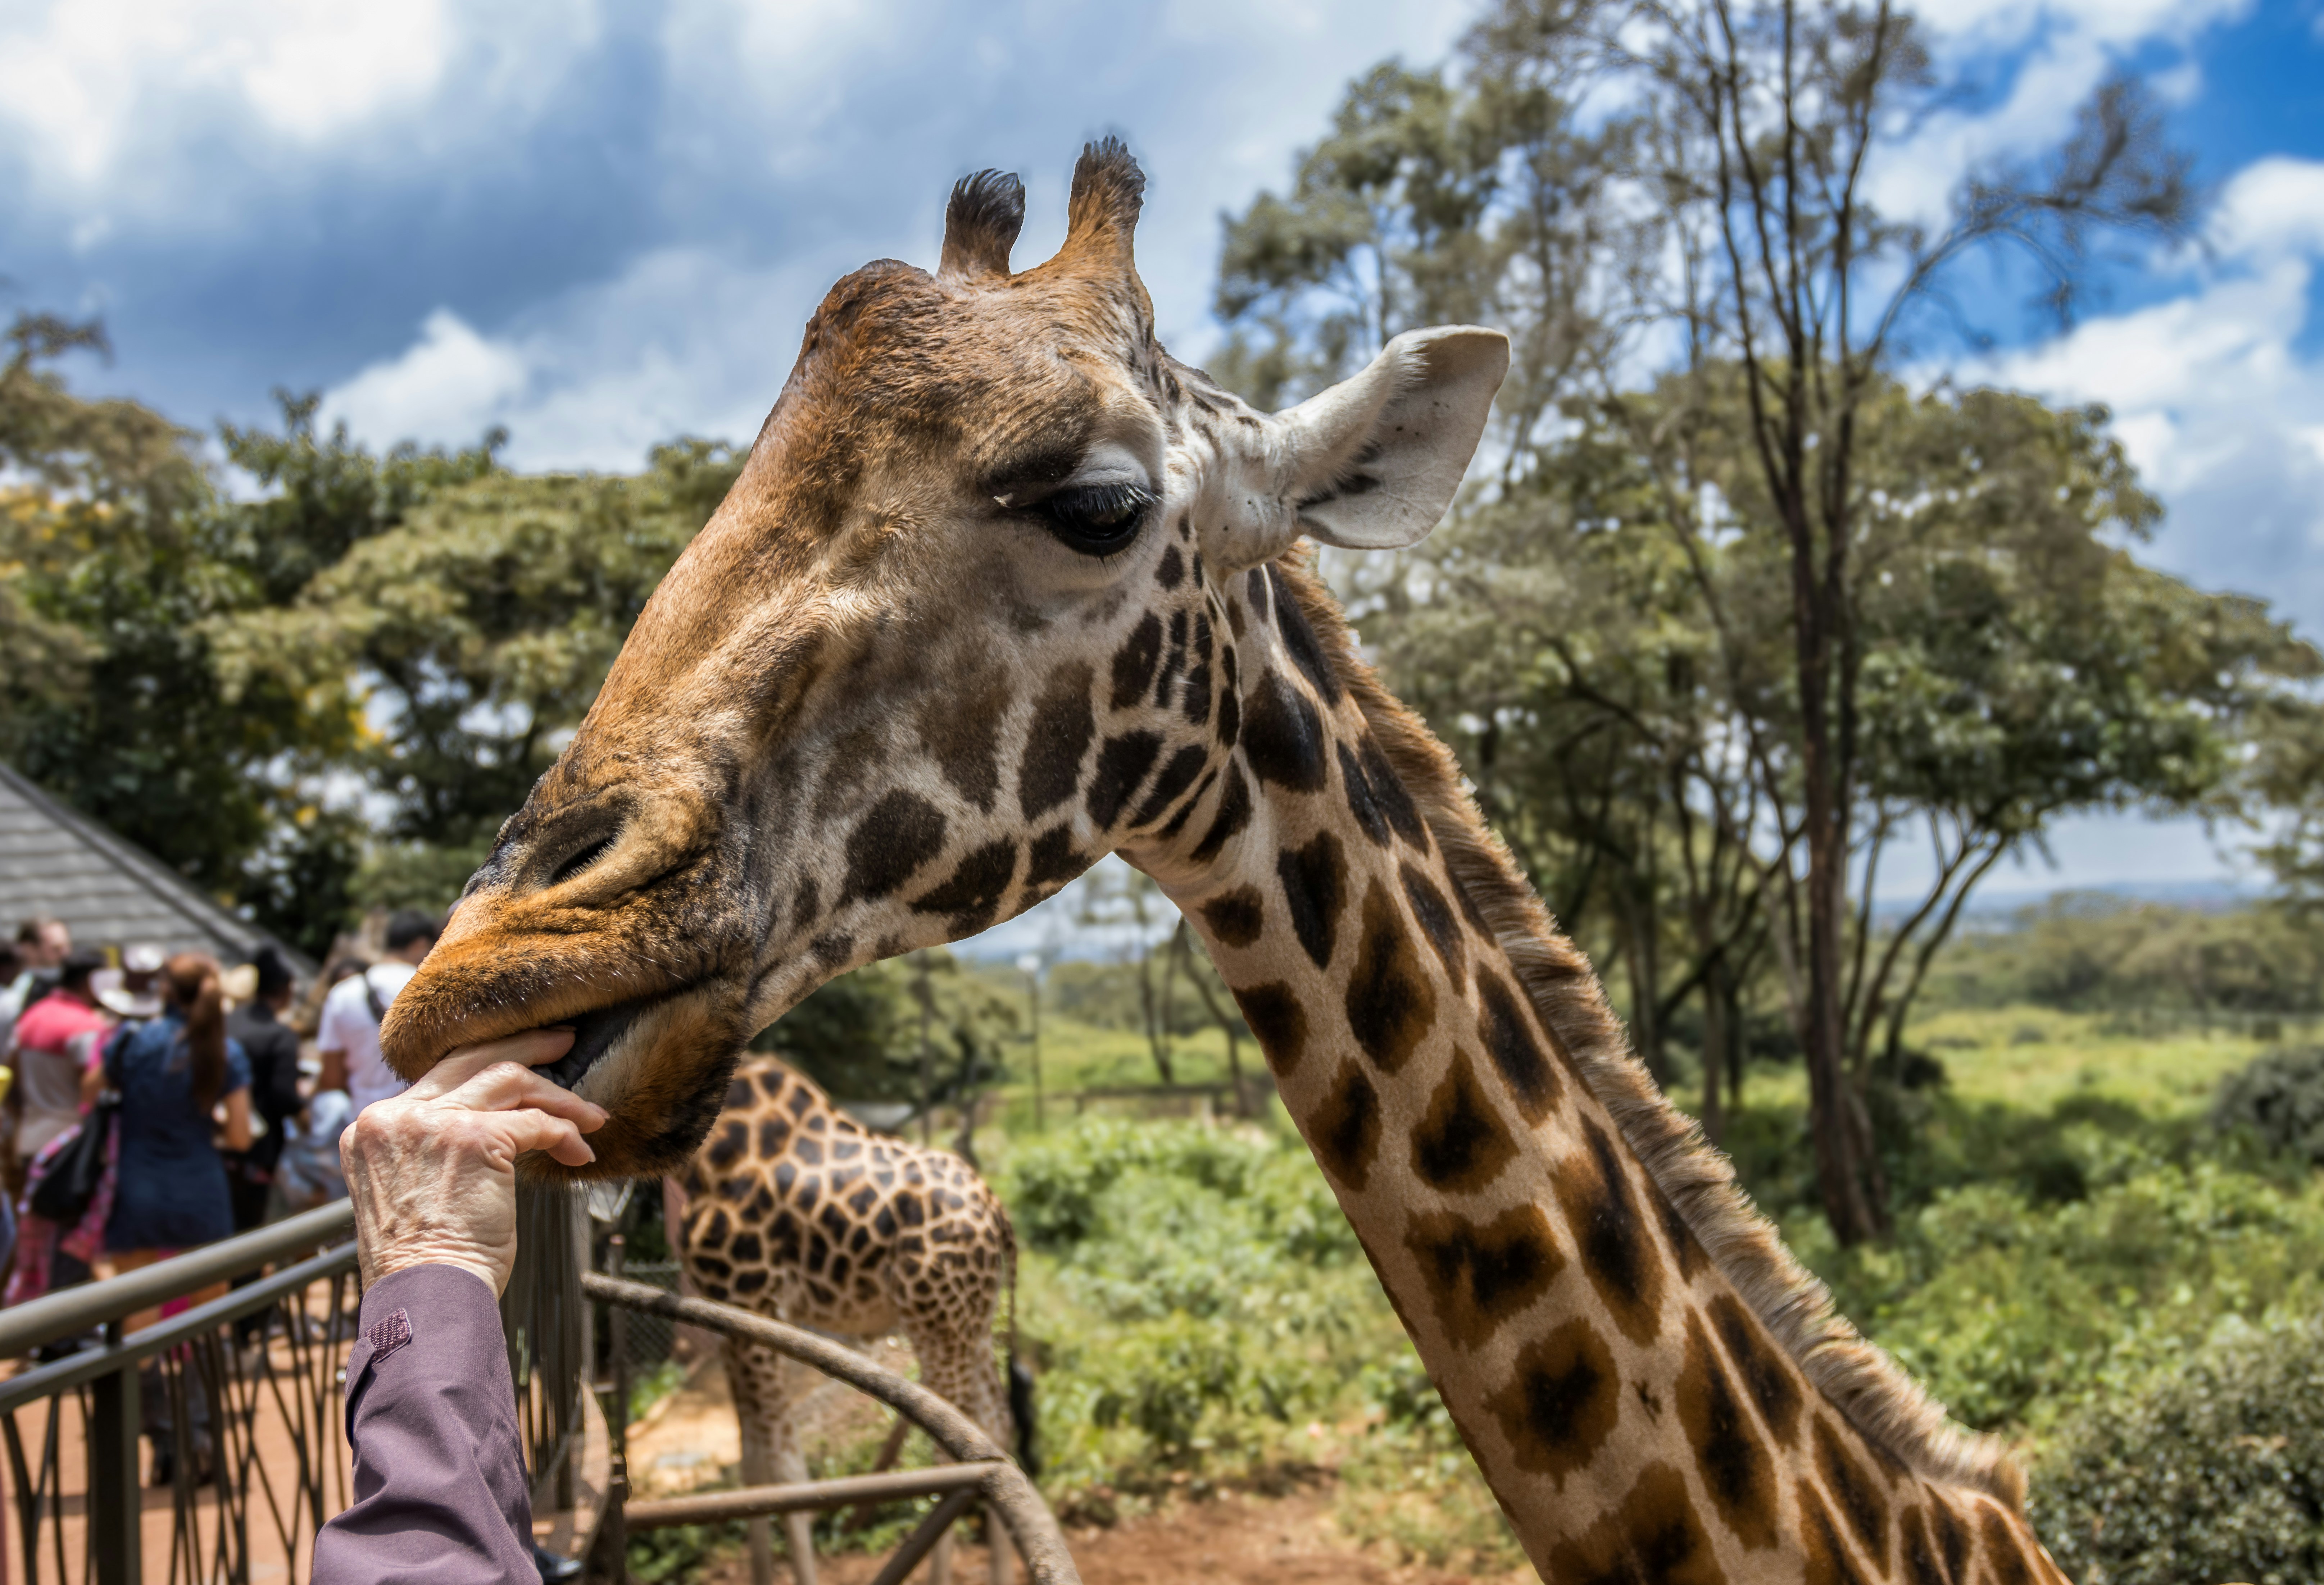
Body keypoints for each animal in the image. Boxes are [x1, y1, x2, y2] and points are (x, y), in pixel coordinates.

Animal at [676, 1054, 1023, 1585]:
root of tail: (997, 1211)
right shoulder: (726, 1316)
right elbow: (752, 1465)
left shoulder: (752, 1300)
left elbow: (786, 1470)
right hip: (971, 1321)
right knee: (997, 1425)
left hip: (936, 1322)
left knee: (952, 1456)